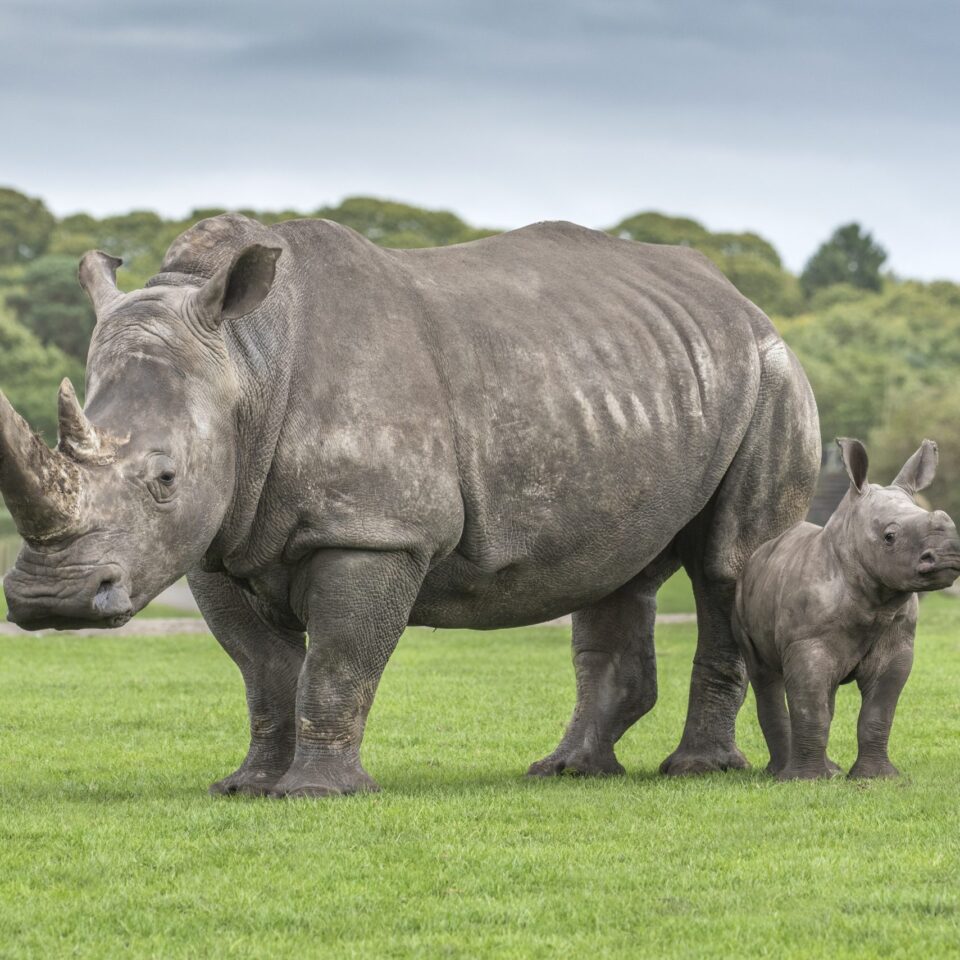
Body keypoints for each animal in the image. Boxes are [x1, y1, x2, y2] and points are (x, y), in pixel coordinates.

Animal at [1, 215, 820, 797]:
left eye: (165, 479)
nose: (52, 601)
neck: (246, 359)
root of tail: (741, 301)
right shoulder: (215, 541)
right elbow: (263, 668)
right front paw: (246, 787)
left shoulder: (376, 530)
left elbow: (338, 658)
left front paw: (318, 794)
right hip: (637, 376)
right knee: (615, 566)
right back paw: (567, 771)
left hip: (771, 374)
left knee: (726, 565)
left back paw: (697, 771)